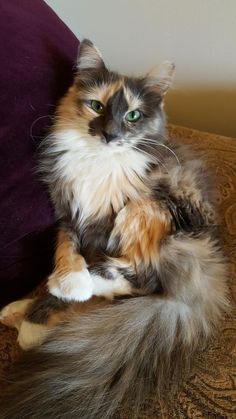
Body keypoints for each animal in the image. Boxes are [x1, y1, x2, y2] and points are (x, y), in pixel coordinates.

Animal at [0, 40, 229, 419]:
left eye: (133, 116)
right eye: (97, 106)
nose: (110, 135)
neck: (100, 161)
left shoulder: (114, 219)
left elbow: (83, 275)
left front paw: (44, 315)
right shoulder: (69, 214)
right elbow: (65, 249)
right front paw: (64, 284)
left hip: (152, 212)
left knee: (142, 281)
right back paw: (18, 310)